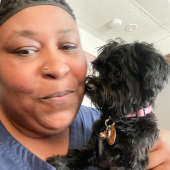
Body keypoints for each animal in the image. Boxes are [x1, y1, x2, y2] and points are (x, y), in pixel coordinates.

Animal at [46, 40, 170, 169]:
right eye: (101, 70)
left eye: (117, 73)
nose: (89, 86)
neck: (123, 121)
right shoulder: (94, 146)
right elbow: (79, 154)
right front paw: (60, 162)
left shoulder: (130, 161)